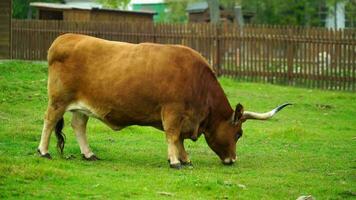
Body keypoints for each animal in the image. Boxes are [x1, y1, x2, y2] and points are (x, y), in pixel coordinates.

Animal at [37, 33, 290, 168]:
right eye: (238, 134)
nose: (232, 160)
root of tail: (65, 38)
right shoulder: (172, 111)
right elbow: (172, 135)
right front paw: (175, 161)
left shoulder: (183, 117)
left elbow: (179, 139)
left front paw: (185, 158)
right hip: (58, 100)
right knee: (49, 121)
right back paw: (43, 151)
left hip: (81, 107)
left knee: (78, 125)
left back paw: (88, 154)